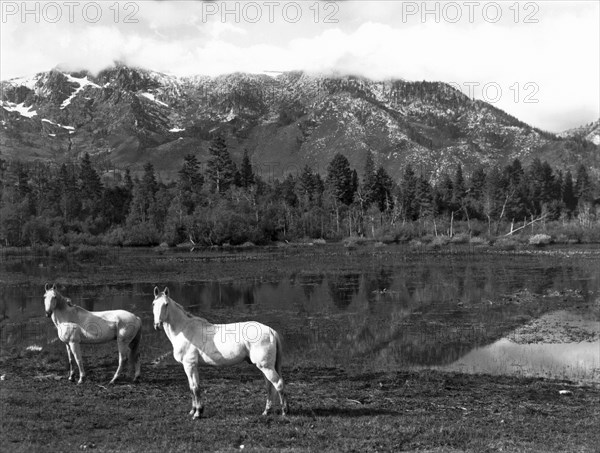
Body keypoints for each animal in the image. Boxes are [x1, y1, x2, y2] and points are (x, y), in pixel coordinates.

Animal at [152, 286, 288, 416]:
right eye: (153, 304)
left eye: (166, 304)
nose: (157, 325)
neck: (184, 329)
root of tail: (271, 331)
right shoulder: (193, 366)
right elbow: (193, 387)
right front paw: (194, 410)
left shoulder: (189, 365)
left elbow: (194, 388)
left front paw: (197, 413)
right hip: (266, 367)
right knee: (269, 386)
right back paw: (266, 411)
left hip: (265, 366)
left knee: (278, 384)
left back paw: (284, 411)